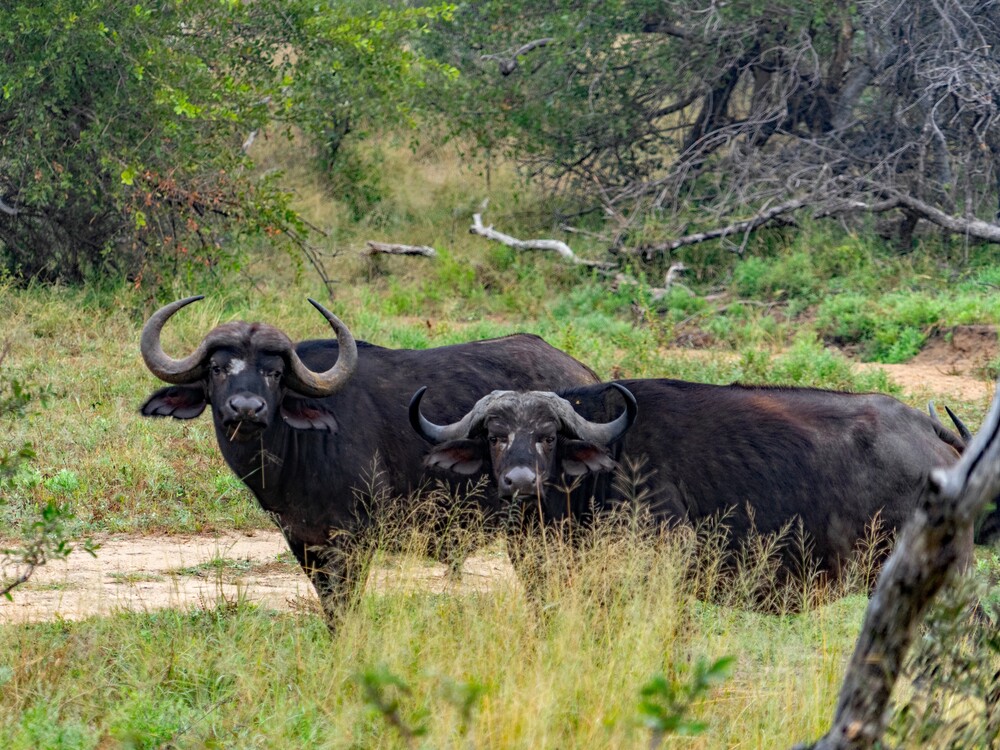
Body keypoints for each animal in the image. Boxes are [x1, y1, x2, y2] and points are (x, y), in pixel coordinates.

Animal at [139, 296, 599, 625]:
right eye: (217, 369)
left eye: (274, 373)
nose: (246, 409)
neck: (293, 453)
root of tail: (584, 374)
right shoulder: (302, 541)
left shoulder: (353, 540)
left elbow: (346, 608)